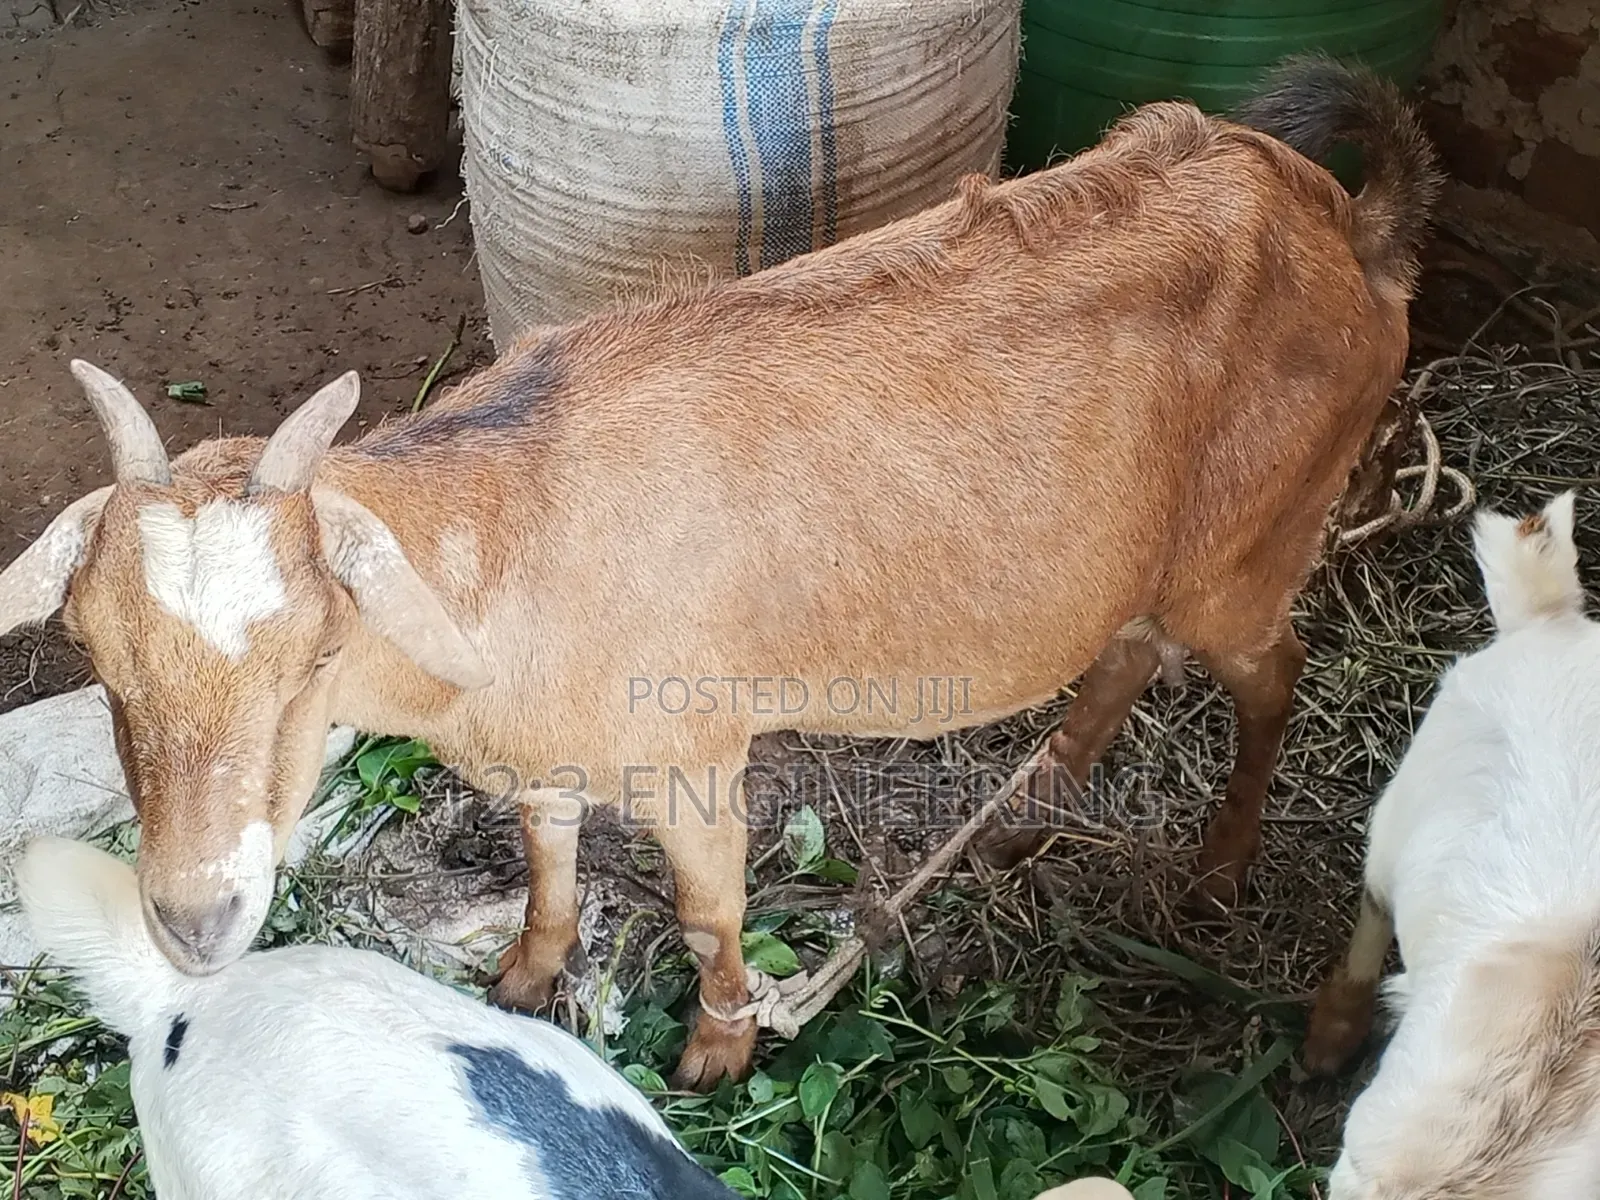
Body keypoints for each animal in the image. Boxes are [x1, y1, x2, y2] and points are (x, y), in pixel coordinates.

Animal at [0, 55, 1439, 1090]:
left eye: (312, 659)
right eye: (102, 666)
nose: (194, 919)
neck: (516, 537)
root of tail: (1354, 228)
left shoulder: (695, 757)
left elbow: (707, 918)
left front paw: (719, 1049)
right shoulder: (549, 750)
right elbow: (546, 856)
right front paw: (527, 978)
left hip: (1255, 547)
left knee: (1271, 670)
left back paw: (1222, 876)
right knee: (1132, 640)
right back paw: (1037, 797)